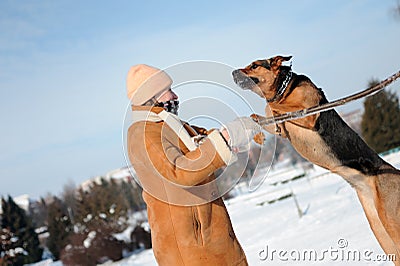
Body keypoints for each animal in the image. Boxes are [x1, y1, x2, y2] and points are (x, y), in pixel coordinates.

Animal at [233, 56, 398, 264]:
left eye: (254, 65)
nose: (232, 73)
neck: (283, 90)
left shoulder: (308, 115)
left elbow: (276, 109)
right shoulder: (282, 130)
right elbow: (259, 117)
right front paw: (256, 134)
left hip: (391, 221)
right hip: (380, 230)